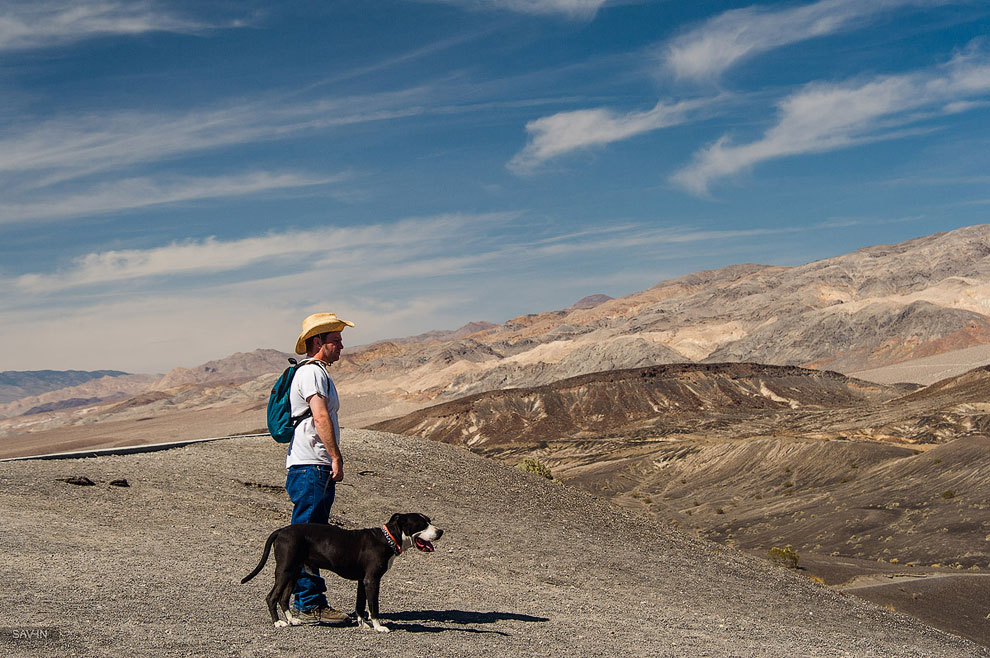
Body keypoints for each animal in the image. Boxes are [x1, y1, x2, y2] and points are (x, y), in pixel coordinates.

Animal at [240, 512, 442, 632]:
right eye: (421, 524)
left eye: (430, 521)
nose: (440, 531)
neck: (388, 538)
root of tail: (281, 531)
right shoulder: (372, 580)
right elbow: (374, 607)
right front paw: (378, 627)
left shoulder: (362, 581)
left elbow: (360, 605)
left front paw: (363, 624)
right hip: (284, 570)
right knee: (272, 597)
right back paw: (278, 622)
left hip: (294, 571)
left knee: (283, 597)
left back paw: (291, 620)